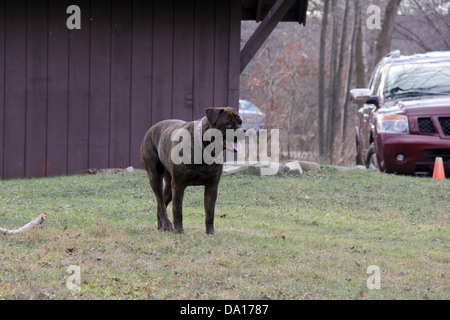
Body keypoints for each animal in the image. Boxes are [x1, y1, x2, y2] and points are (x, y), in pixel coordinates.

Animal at [140, 107, 243, 235]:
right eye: (228, 123)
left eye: (241, 122)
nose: (243, 130)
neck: (205, 147)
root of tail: (151, 129)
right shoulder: (178, 185)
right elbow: (177, 209)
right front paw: (179, 231)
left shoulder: (212, 186)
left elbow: (210, 212)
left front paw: (210, 232)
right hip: (155, 177)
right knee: (160, 202)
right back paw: (168, 224)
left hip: (169, 186)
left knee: (161, 203)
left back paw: (161, 226)